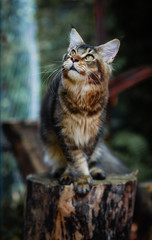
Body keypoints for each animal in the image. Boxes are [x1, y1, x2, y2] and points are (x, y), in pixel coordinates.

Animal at [40, 27, 128, 194]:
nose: (74, 59)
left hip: (99, 145)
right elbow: (75, 158)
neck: (81, 95)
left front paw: (80, 177)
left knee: (94, 161)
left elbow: (83, 158)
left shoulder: (92, 134)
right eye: (73, 52)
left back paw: (96, 171)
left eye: (89, 57)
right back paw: (58, 171)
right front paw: (78, 178)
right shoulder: (64, 131)